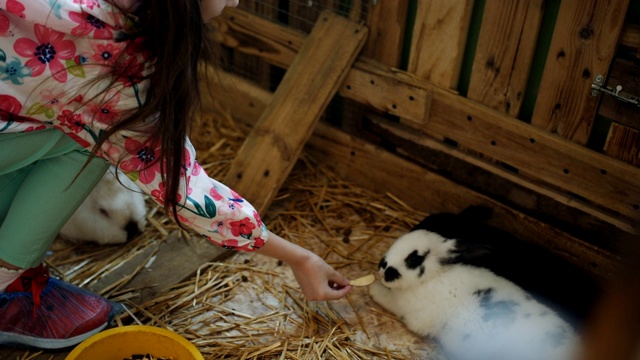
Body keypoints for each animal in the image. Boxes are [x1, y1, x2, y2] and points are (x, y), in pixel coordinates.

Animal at [368, 207, 592, 360]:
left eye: (414, 258)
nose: (383, 267)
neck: (436, 277)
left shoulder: (410, 312)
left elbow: (386, 298)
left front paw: (372, 289)